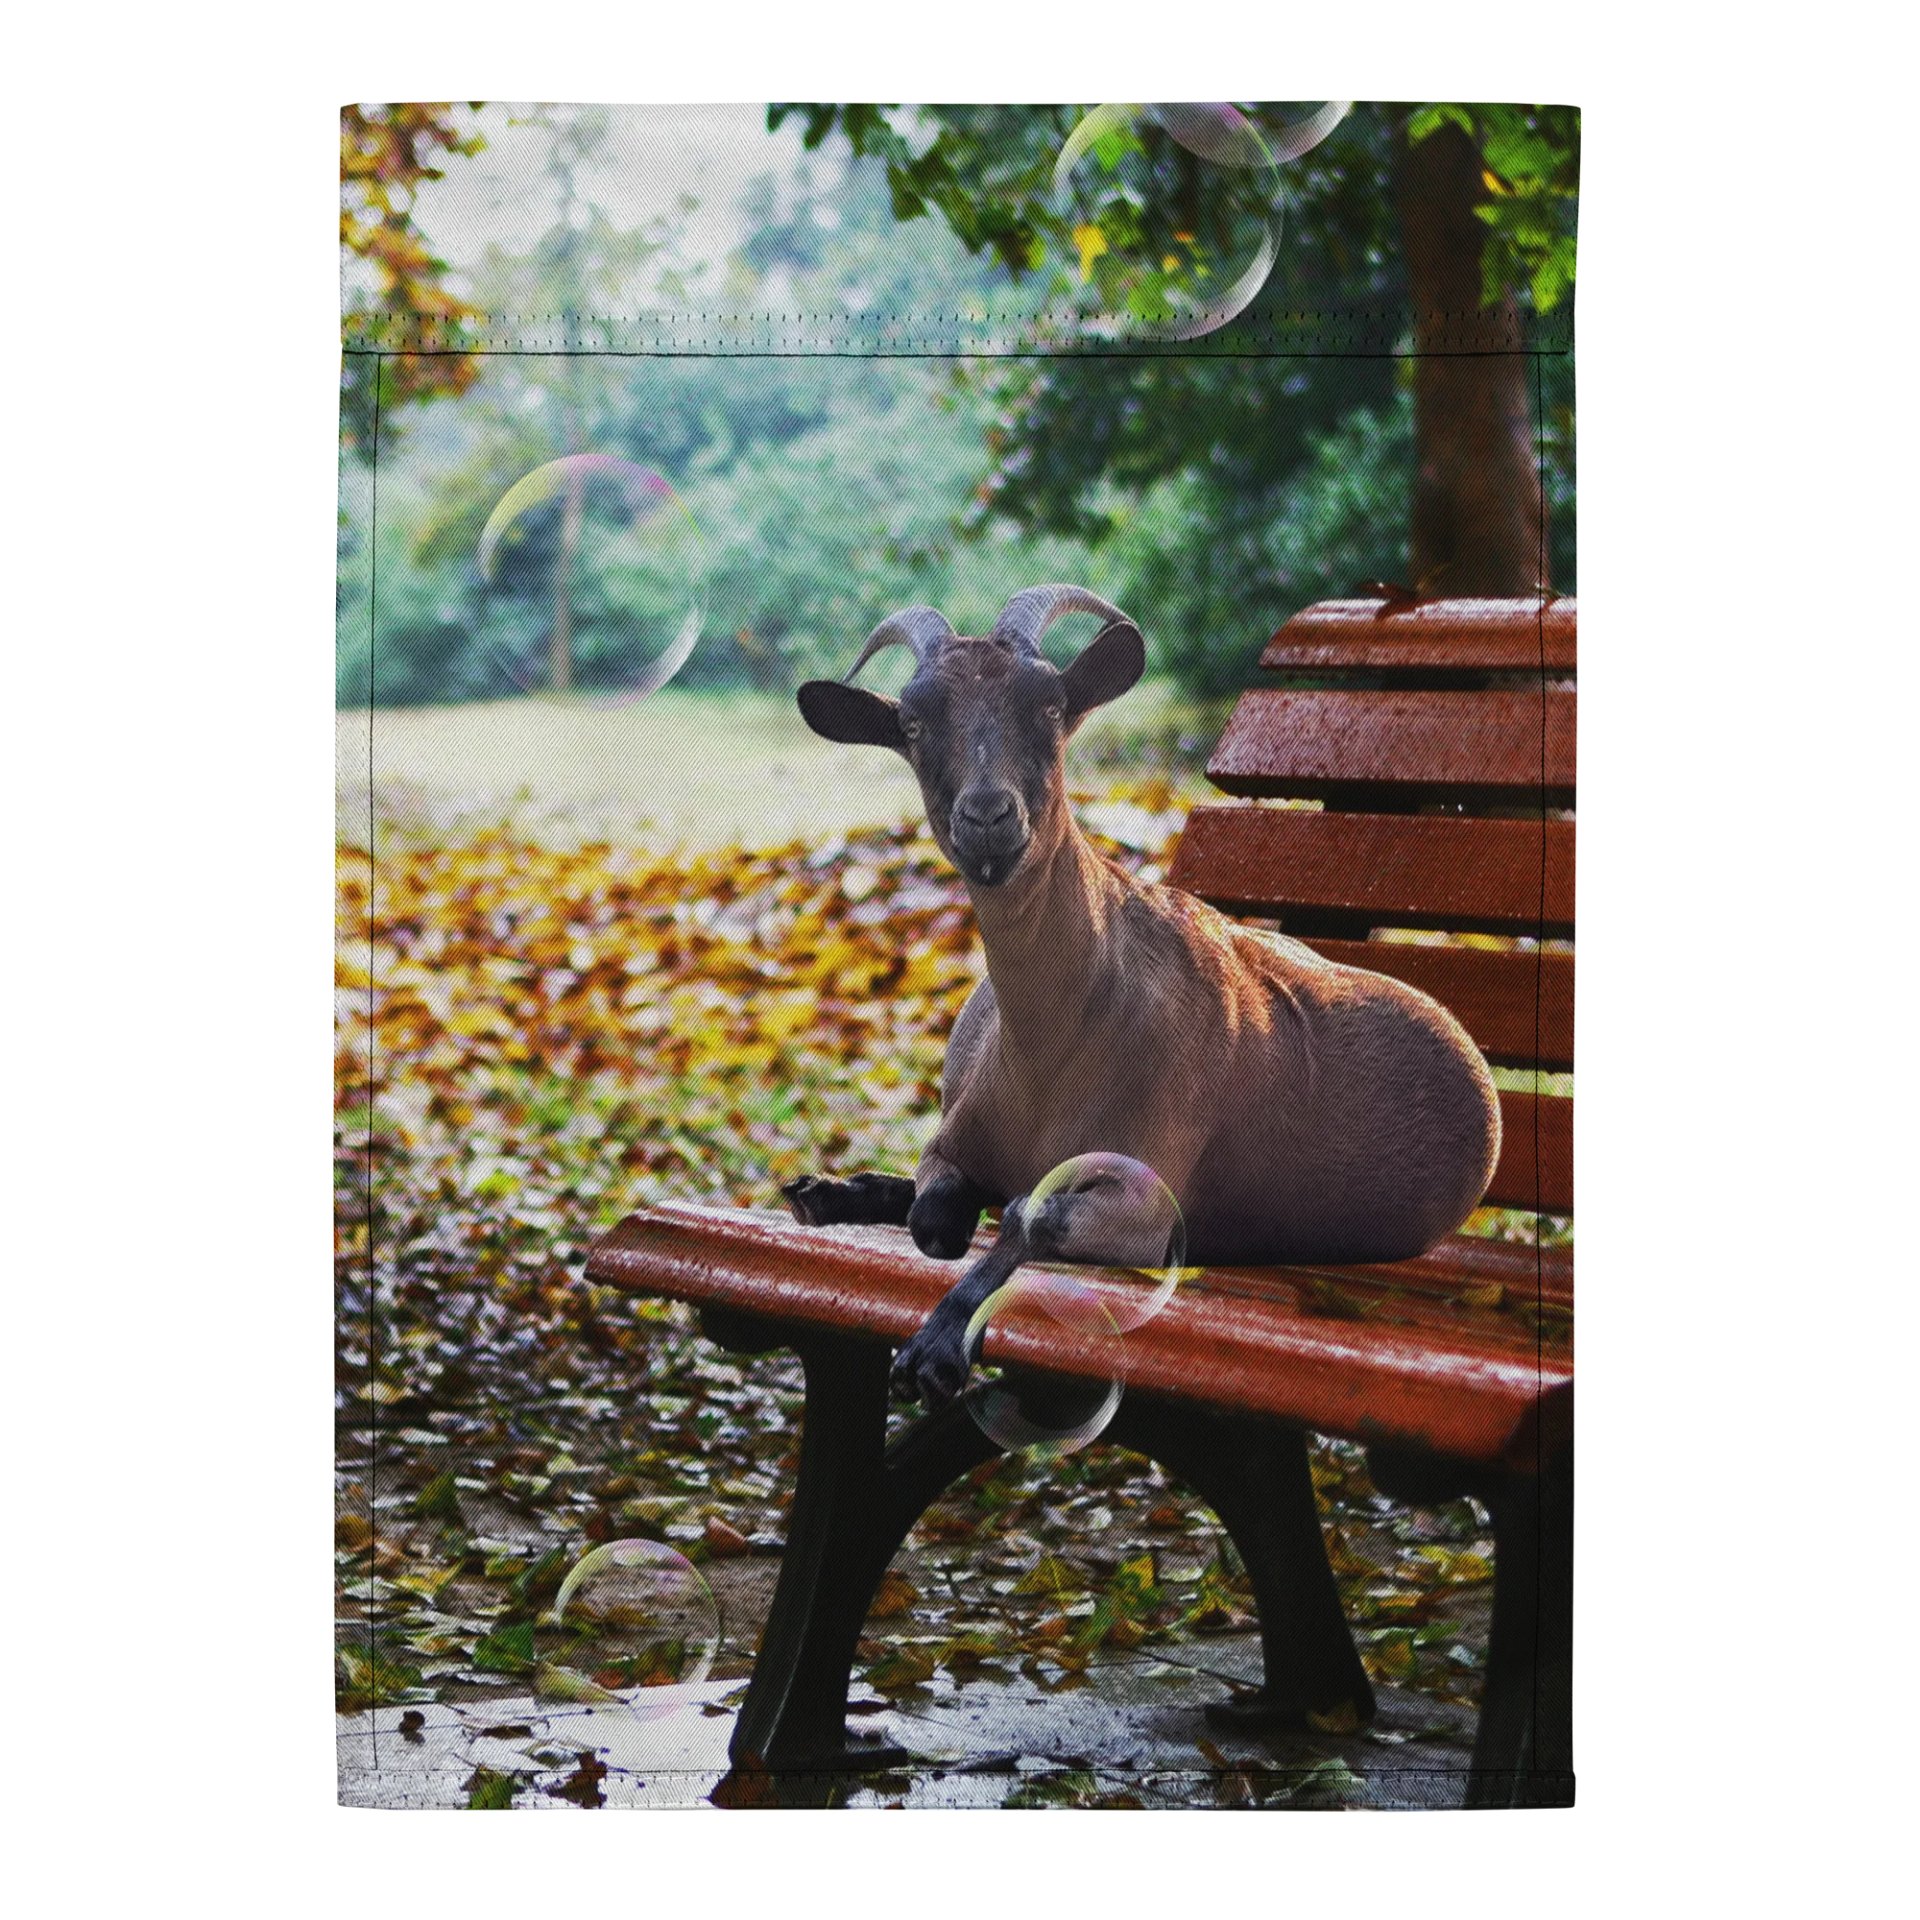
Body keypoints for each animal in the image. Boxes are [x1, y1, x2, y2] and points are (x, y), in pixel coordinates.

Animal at [782, 586, 1502, 1407]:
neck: (1054, 1050)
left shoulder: (1152, 1193)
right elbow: (938, 1216)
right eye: (910, 721)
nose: (989, 817)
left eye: (1051, 704)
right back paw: (820, 1191)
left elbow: (1028, 1214)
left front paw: (935, 1348)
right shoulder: (955, 1139)